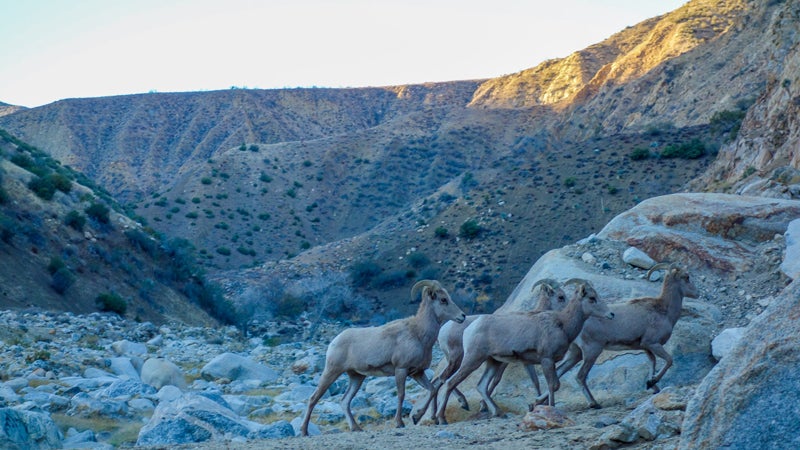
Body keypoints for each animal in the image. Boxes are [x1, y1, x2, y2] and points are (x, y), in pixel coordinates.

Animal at [302, 280, 468, 434]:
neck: (418, 334)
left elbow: (432, 389)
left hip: (356, 377)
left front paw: (417, 417)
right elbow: (401, 395)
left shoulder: (417, 373)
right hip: (332, 371)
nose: (462, 316)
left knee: (345, 401)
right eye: (443, 300)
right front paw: (399, 423)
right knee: (313, 398)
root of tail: (334, 342)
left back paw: (356, 428)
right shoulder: (401, 370)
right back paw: (304, 432)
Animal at [412, 280, 568, 424]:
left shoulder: (525, 362)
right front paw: (484, 406)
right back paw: (453, 408)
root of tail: (443, 331)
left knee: (438, 380)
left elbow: (535, 381)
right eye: (561, 297)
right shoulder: (504, 362)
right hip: (460, 360)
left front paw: (537, 404)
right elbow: (496, 380)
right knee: (445, 379)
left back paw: (432, 416)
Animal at [434, 280, 608, 424]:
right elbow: (553, 385)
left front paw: (535, 405)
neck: (562, 325)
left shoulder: (535, 363)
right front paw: (549, 408)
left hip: (492, 362)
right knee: (449, 382)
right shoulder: (546, 360)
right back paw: (442, 418)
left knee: (480, 386)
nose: (610, 314)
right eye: (592, 298)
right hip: (471, 360)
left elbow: (543, 383)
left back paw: (499, 413)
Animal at [548, 262, 696, 410]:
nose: (696, 293)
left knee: (560, 371)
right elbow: (669, 360)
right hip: (592, 351)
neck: (664, 311)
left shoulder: (646, 348)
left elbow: (652, 362)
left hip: (576, 353)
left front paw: (651, 385)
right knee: (580, 376)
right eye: (686, 277)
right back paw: (594, 403)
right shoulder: (653, 344)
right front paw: (652, 382)